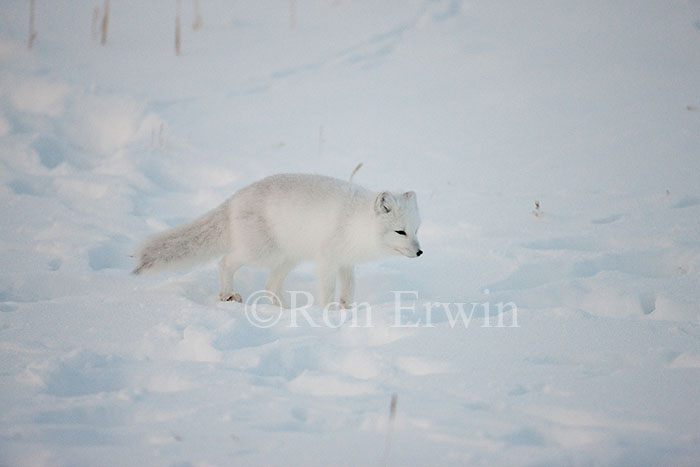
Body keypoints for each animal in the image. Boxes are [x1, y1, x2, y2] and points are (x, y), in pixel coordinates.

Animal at [134, 174, 424, 308]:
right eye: (400, 232)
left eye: (416, 230)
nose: (420, 252)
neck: (355, 221)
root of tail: (234, 199)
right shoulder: (326, 260)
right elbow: (328, 290)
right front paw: (329, 314)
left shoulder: (345, 262)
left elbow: (349, 289)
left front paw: (347, 311)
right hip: (260, 253)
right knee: (225, 262)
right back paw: (228, 294)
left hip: (286, 258)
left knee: (270, 287)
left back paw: (287, 313)